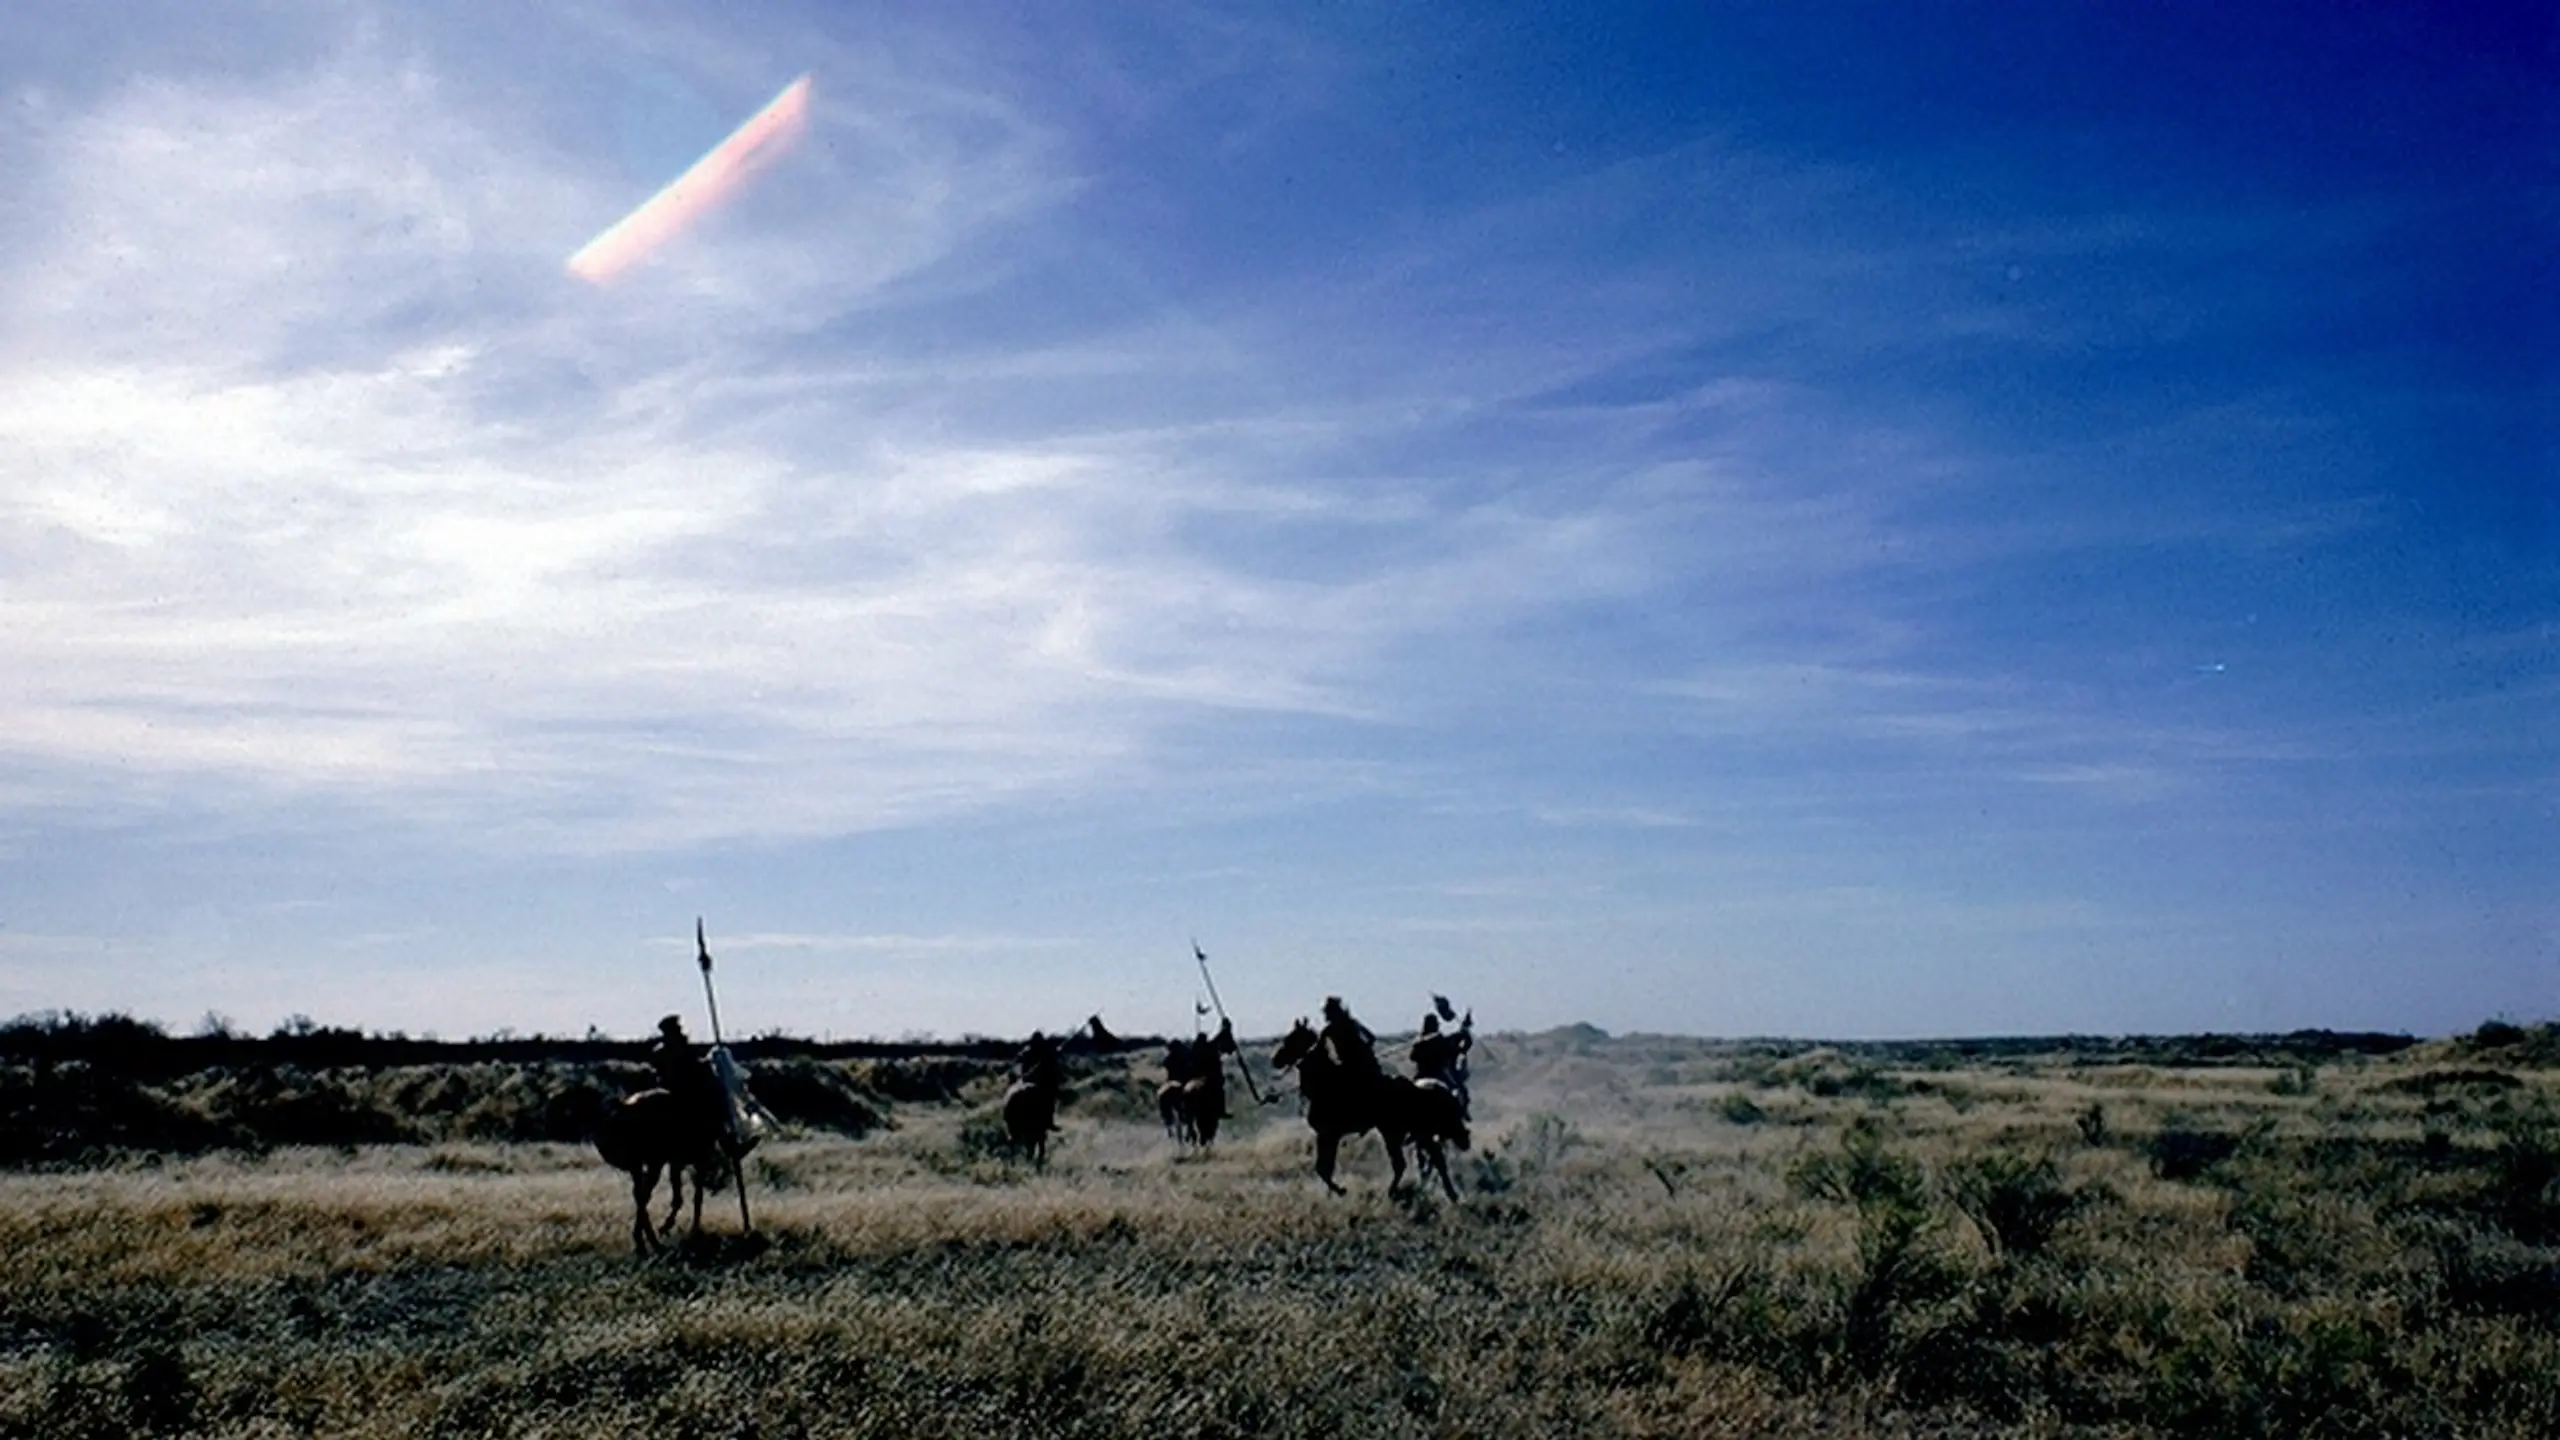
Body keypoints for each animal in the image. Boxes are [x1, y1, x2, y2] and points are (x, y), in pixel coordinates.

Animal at [596, 1086, 747, 1245]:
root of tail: (625, 1108)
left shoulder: (675, 1163)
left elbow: (681, 1198)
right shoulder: (693, 1161)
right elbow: (692, 1198)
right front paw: (676, 1228)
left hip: (640, 1164)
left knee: (640, 1194)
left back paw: (644, 1238)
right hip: (653, 1162)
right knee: (644, 1194)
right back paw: (649, 1239)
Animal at [1269, 1009, 1474, 1199]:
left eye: (1291, 1038)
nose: (1275, 1059)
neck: (1326, 1081)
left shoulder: (1328, 1134)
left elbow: (1323, 1169)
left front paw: (1340, 1190)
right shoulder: (1328, 1135)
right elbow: (1324, 1168)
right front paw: (1337, 1191)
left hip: (1394, 1131)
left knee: (1406, 1163)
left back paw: (1395, 1192)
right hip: (1415, 1132)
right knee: (1432, 1158)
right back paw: (1448, 1193)